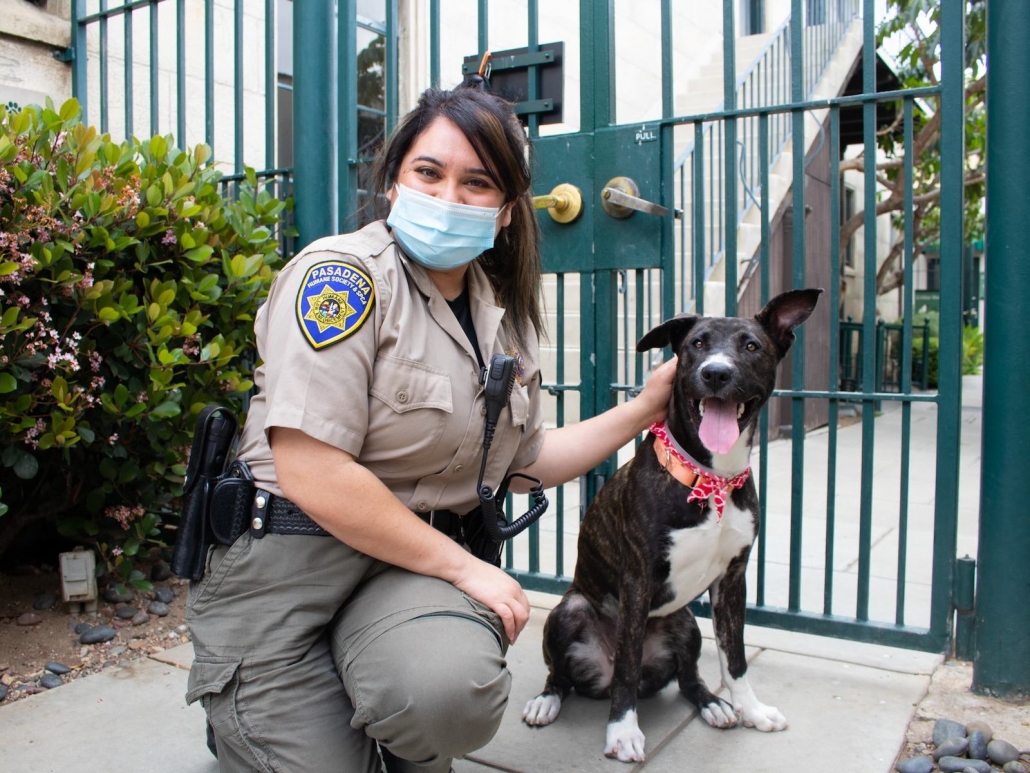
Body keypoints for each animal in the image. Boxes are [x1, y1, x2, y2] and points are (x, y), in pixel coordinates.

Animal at [523, 288, 819, 762]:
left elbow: (734, 658)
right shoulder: (637, 579)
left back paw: (714, 704)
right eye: (696, 343)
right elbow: (626, 665)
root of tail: (598, 680)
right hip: (571, 610)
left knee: (687, 677)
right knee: (566, 675)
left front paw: (751, 709)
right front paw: (622, 731)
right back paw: (547, 701)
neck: (712, 478)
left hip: (685, 624)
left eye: (751, 346)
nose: (715, 372)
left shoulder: (733, 579)